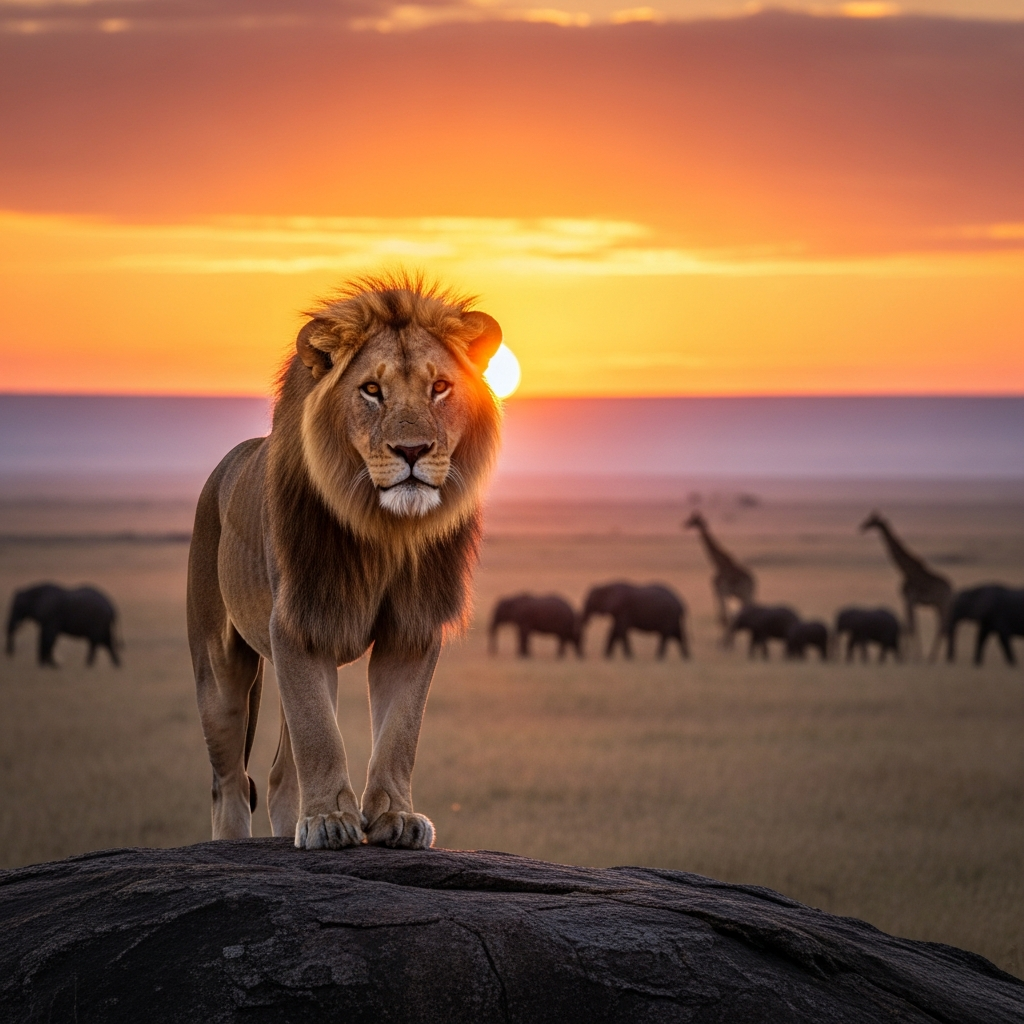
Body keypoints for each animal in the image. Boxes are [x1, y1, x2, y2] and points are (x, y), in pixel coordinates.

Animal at [187, 274, 503, 850]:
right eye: (371, 390)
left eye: (440, 388)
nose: (412, 450)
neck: (384, 530)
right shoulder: (299, 623)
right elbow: (320, 735)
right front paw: (330, 820)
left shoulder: (412, 628)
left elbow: (400, 731)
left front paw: (396, 817)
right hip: (218, 667)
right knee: (229, 781)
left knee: (278, 774)